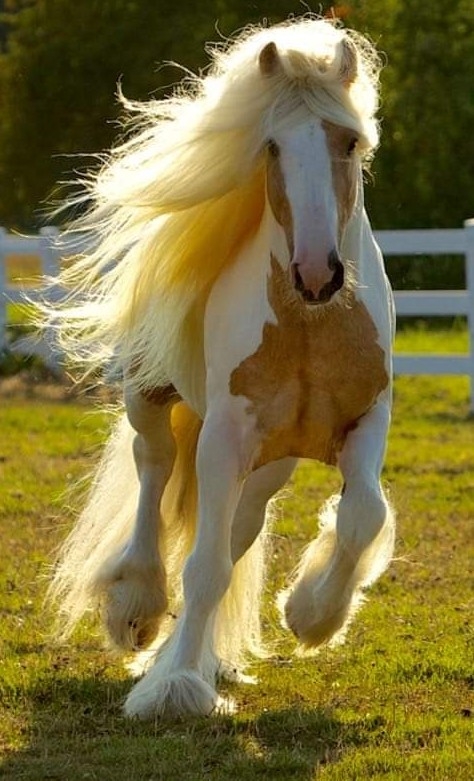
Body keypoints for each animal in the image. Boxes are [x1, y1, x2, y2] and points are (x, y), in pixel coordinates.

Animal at [46, 17, 396, 719]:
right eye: (272, 146)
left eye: (348, 142)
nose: (316, 273)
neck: (311, 326)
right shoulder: (225, 435)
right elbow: (203, 566)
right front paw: (175, 686)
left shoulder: (368, 418)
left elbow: (363, 516)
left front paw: (311, 615)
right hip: (152, 400)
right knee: (153, 471)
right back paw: (138, 609)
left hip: (269, 464)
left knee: (238, 529)